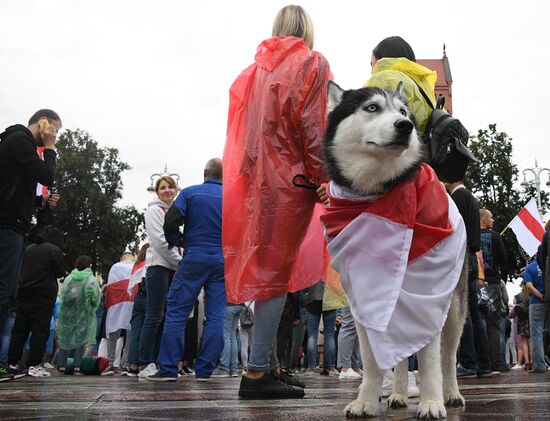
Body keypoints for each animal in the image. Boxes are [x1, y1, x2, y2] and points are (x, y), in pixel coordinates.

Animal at [324, 81, 470, 416]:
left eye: (403, 112)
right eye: (372, 108)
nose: (405, 126)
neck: (378, 193)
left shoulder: (429, 295)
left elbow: (430, 361)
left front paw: (431, 402)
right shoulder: (365, 299)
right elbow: (373, 362)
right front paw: (366, 401)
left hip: (454, 308)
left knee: (448, 356)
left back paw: (451, 393)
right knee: (402, 356)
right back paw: (399, 394)